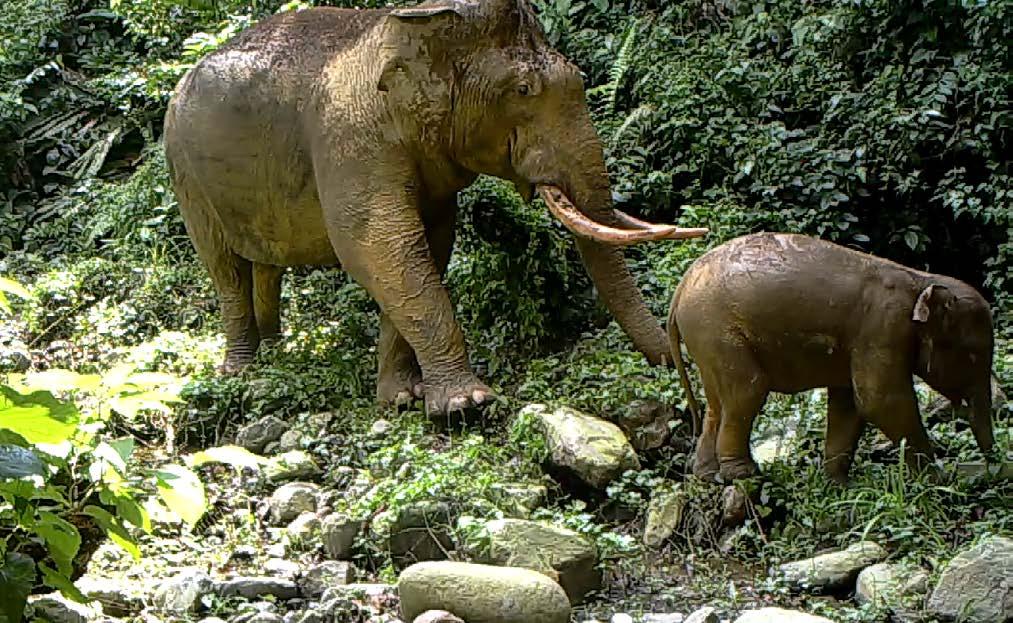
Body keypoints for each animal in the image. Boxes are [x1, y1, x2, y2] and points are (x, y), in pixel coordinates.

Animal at [164, 0, 705, 415]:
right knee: (225, 267)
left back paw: (278, 354)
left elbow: (431, 240)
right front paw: (467, 404)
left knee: (264, 266)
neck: (408, 21)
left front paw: (402, 398)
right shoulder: (350, 140)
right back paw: (241, 372)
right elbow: (378, 243)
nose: (675, 360)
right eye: (523, 90)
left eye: (578, 76)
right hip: (185, 174)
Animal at [668, 234, 992, 482]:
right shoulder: (884, 329)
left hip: (705, 339)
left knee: (716, 403)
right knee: (748, 390)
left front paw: (837, 484)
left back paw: (708, 475)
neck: (921, 279)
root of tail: (680, 289)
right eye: (973, 354)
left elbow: (850, 405)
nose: (992, 468)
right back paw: (743, 475)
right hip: (717, 331)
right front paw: (938, 480)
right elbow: (881, 401)